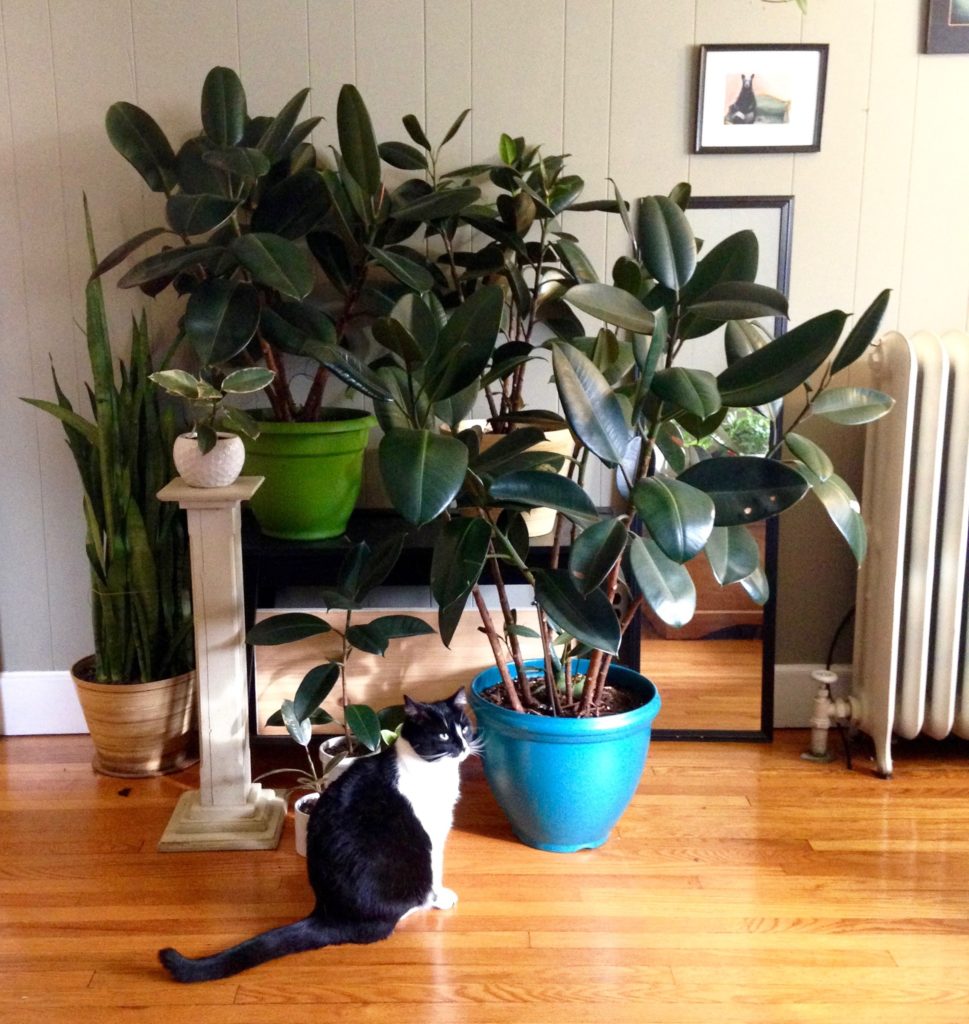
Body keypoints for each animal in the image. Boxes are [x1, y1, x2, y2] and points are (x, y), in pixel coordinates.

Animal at [159, 688, 475, 983]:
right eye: (443, 735)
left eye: (465, 728)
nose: (462, 747)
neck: (433, 768)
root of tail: (327, 913)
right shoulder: (434, 833)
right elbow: (436, 872)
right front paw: (439, 897)